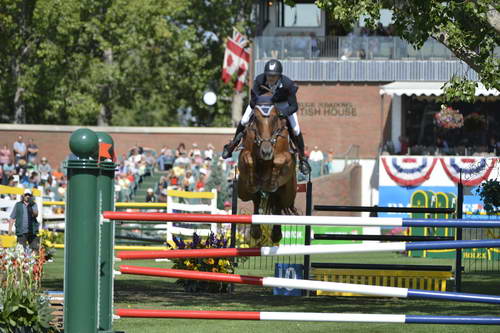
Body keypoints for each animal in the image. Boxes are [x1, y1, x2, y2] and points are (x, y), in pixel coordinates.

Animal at [235, 94, 296, 244]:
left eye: (274, 118)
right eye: (256, 118)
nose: (266, 152)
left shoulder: (287, 158)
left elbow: (280, 160)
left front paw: (272, 182)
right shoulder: (244, 155)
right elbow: (249, 159)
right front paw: (254, 181)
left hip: (288, 195)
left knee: (279, 204)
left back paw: (276, 234)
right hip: (243, 192)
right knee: (256, 200)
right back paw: (256, 232)